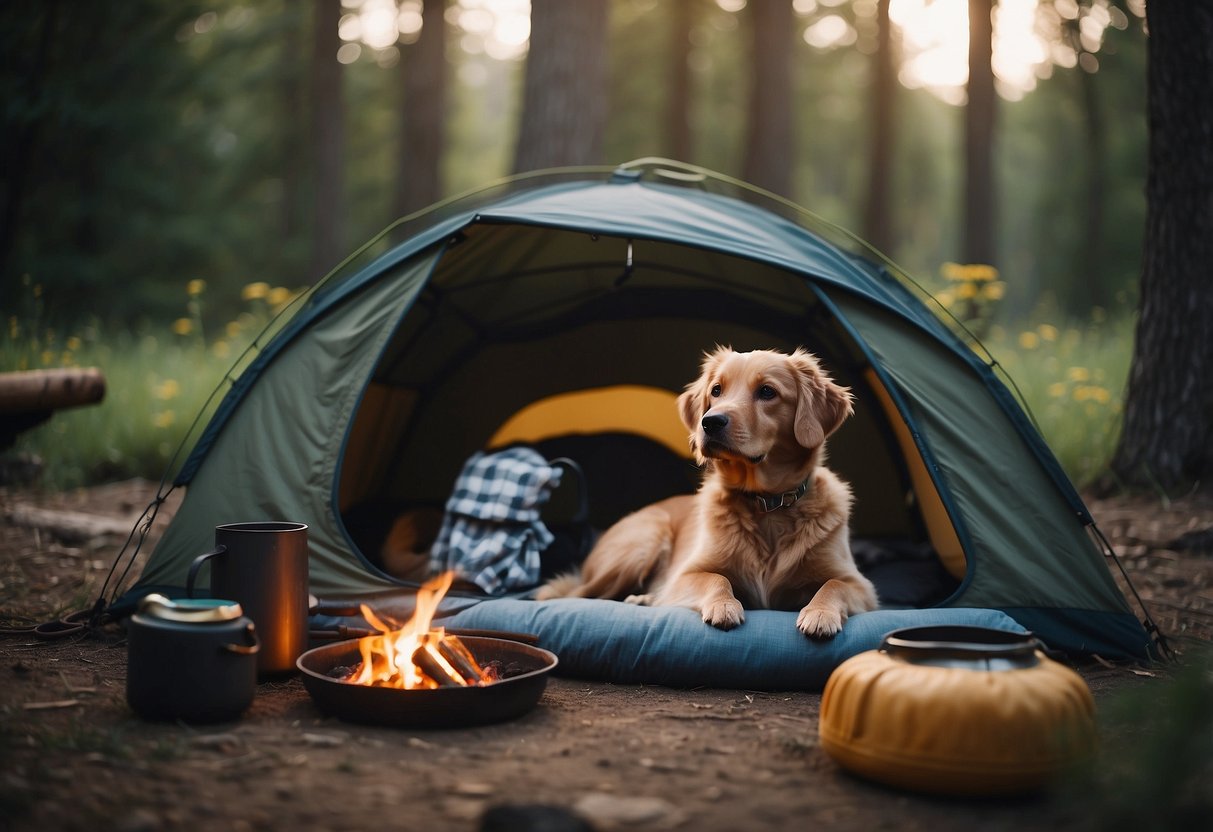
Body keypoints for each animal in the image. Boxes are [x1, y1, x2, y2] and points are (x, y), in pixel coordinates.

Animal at [538, 344, 873, 640]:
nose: (710, 422)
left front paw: (820, 613)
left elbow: (833, 585)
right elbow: (717, 577)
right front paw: (724, 605)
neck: (766, 506)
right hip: (642, 542)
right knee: (576, 594)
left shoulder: (861, 586)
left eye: (767, 392)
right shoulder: (687, 574)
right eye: (716, 390)